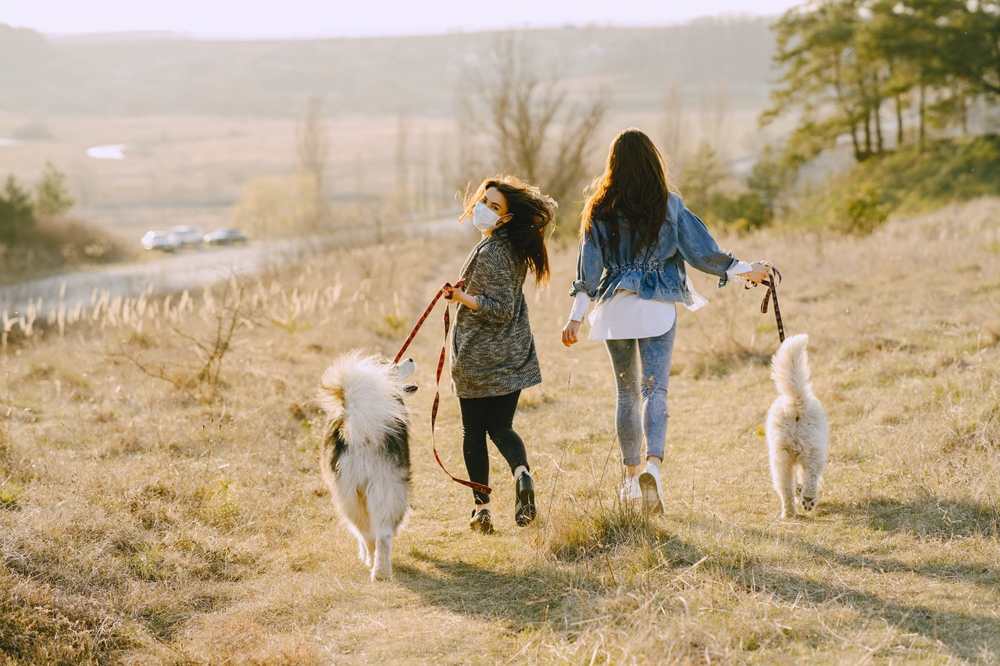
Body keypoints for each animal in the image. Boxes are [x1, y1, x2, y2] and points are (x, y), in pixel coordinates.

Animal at [318, 352, 416, 576]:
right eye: (394, 365)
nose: (411, 359)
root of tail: (361, 435)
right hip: (380, 488)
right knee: (378, 534)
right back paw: (379, 570)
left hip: (354, 493)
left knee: (370, 533)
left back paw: (375, 567)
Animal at [764, 334, 828, 516]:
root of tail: (796, 402)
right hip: (814, 451)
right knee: (811, 477)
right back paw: (808, 500)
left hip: (780, 458)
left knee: (785, 489)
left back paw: (789, 513)